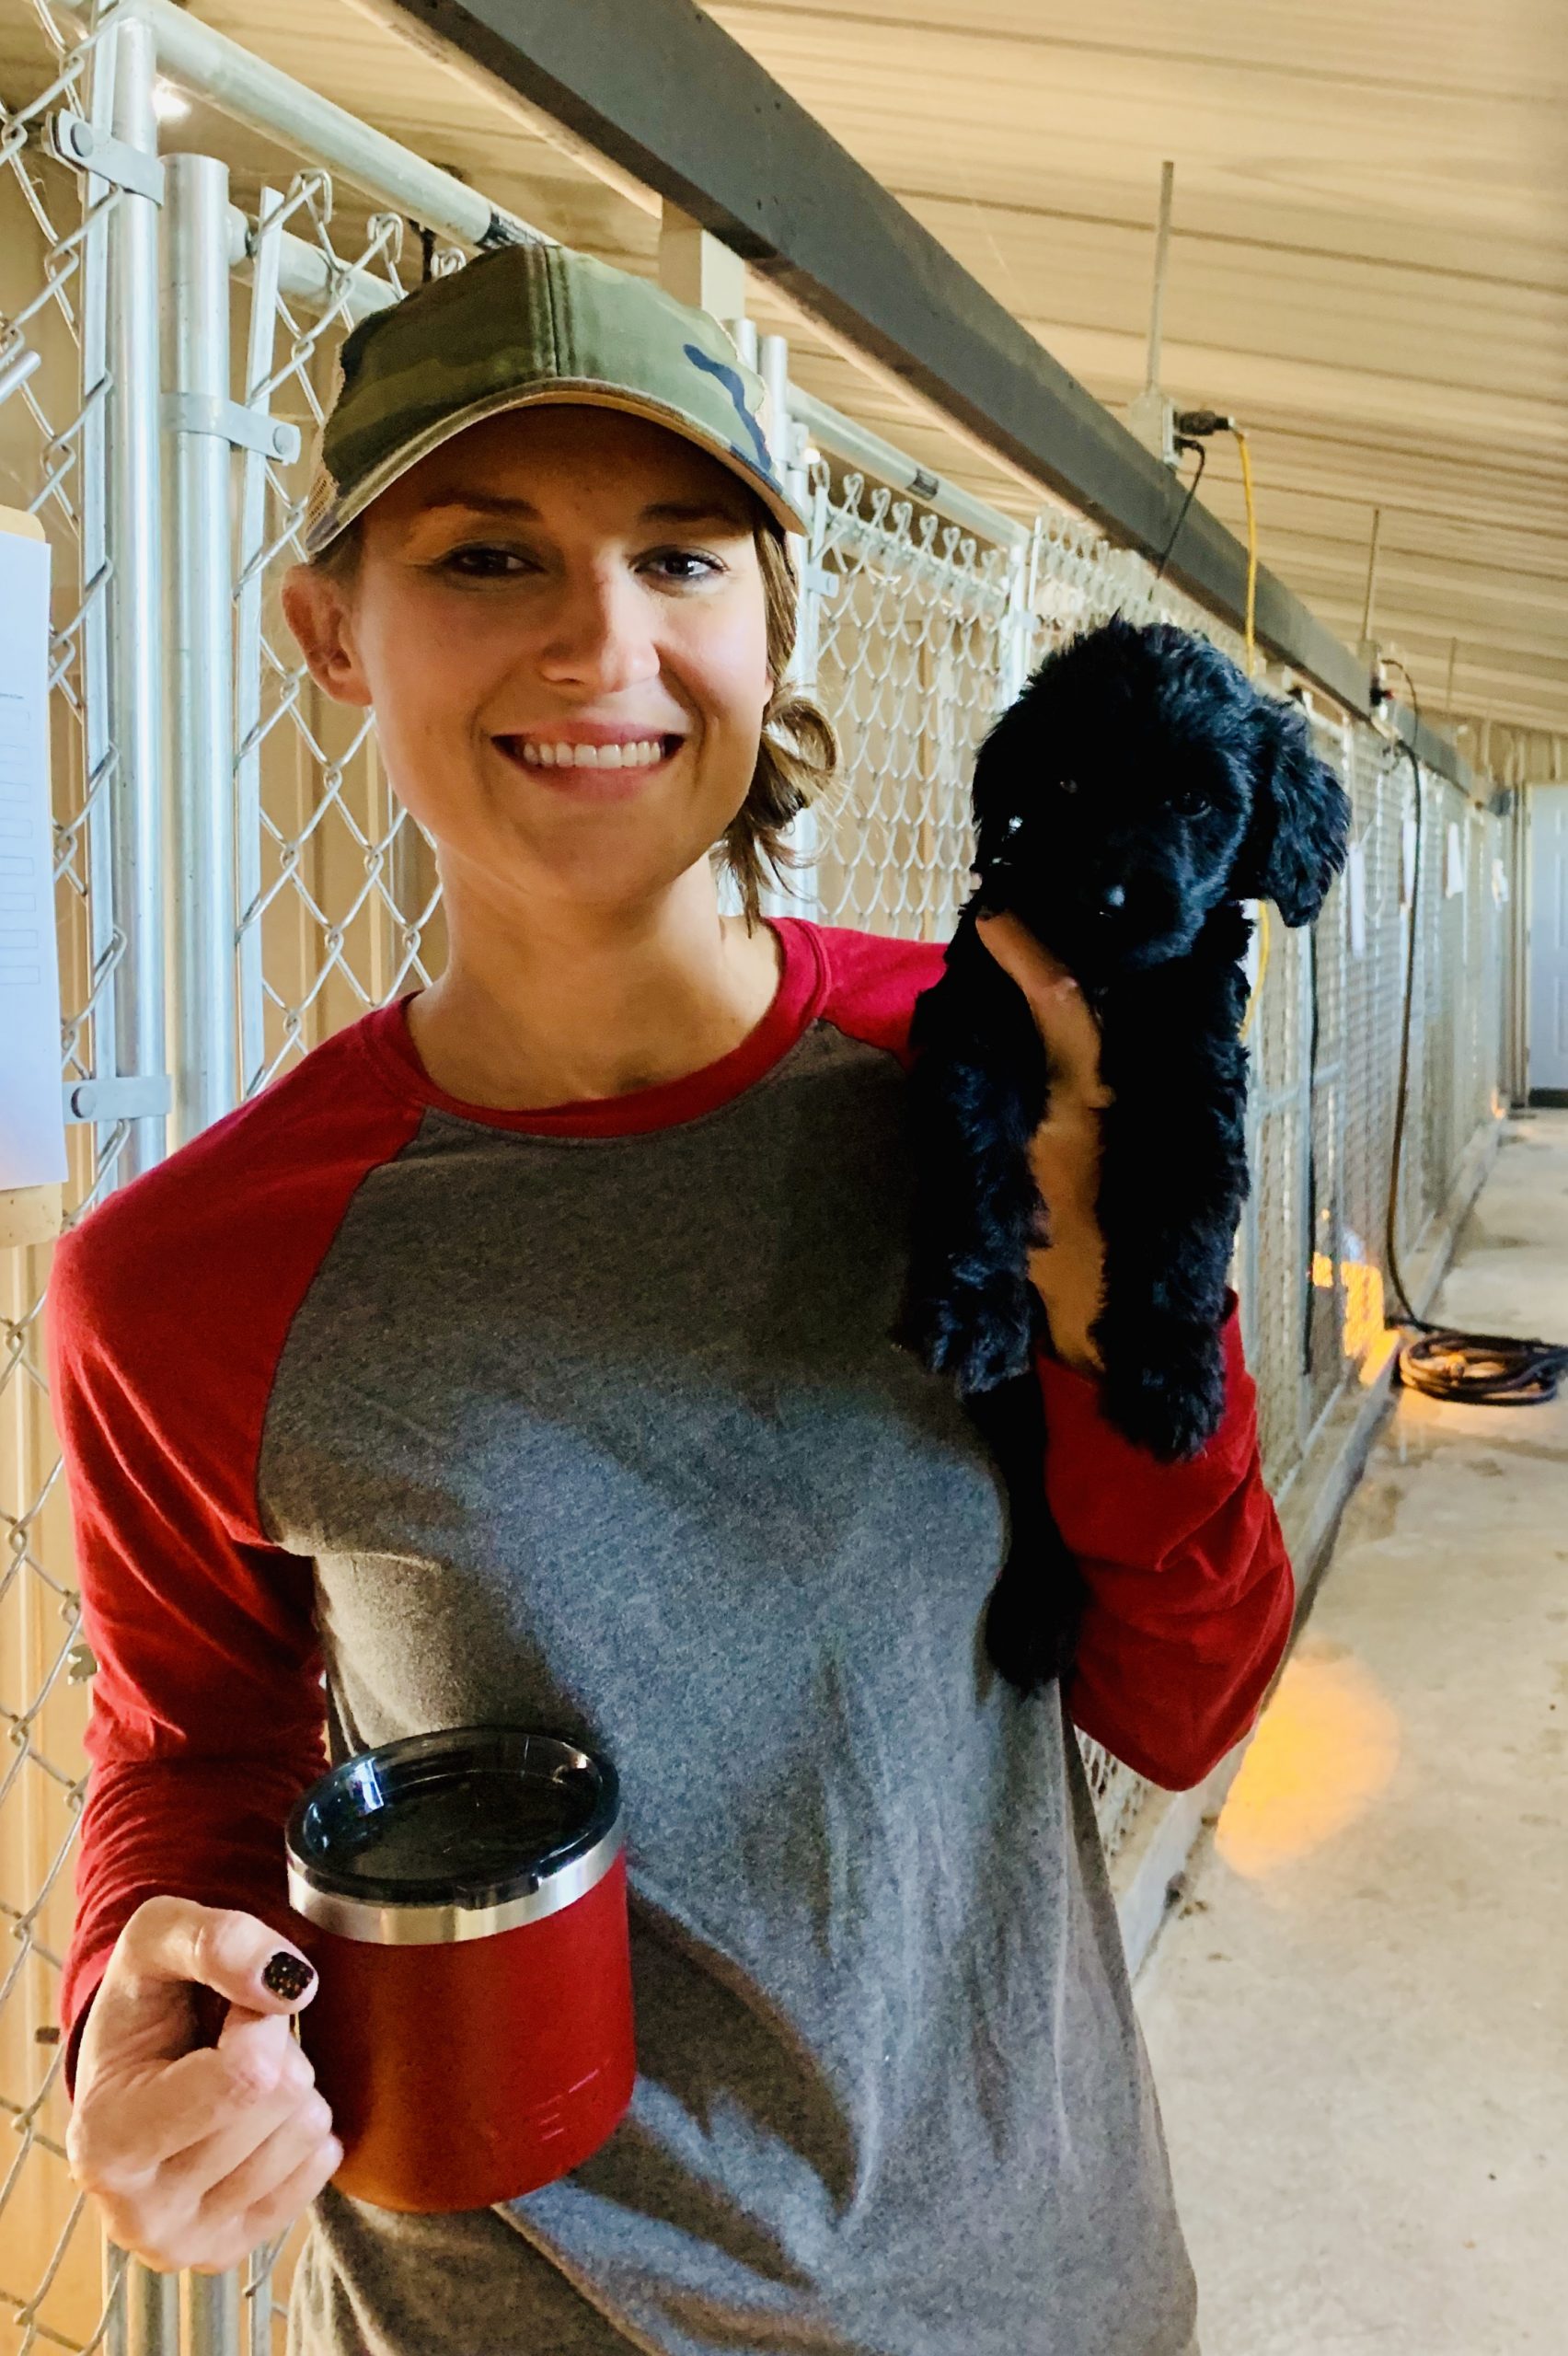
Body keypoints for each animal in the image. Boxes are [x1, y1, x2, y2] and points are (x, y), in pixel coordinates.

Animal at [899, 617, 1346, 1705]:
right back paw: (1037, 1612)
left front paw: (1172, 1381)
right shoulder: (978, 1018)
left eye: (1194, 800)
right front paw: (973, 1308)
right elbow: (974, 1147)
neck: (1102, 981)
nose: (1104, 897)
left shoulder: (1194, 1073)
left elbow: (1181, 1218)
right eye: (1062, 783)